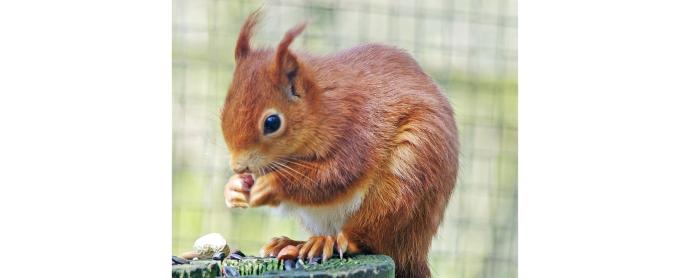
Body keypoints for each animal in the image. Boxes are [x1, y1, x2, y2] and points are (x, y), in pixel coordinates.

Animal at [220, 10, 456, 278]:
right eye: (223, 112)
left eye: (272, 122)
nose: (239, 167)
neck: (322, 105)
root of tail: (415, 251)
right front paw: (233, 189)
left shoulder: (356, 130)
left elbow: (334, 176)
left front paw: (271, 185)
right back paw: (294, 243)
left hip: (403, 187)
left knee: (369, 237)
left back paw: (331, 243)